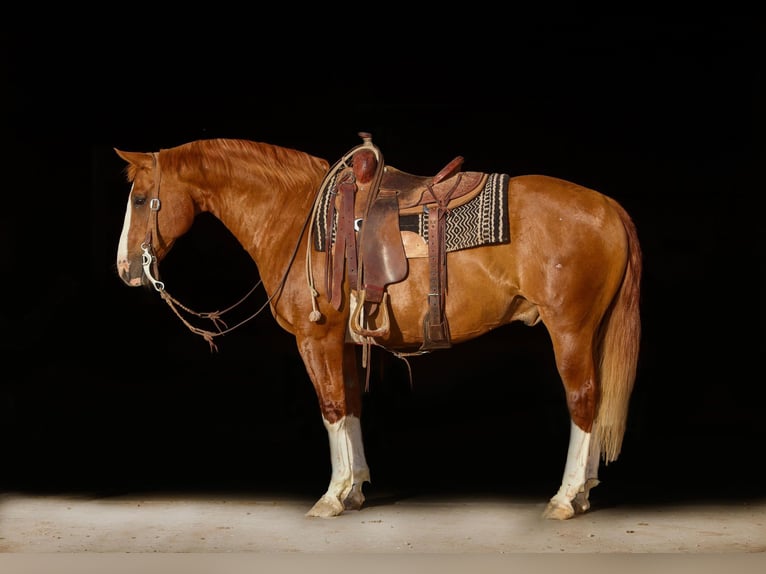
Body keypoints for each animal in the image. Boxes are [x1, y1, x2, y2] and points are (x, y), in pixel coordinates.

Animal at [114, 135, 640, 520]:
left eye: (140, 199)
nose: (125, 269)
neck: (295, 215)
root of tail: (610, 206)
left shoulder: (316, 339)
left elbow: (330, 407)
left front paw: (333, 495)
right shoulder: (344, 343)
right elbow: (350, 407)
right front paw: (355, 489)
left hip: (569, 331)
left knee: (583, 400)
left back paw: (566, 497)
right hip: (589, 332)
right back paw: (584, 490)